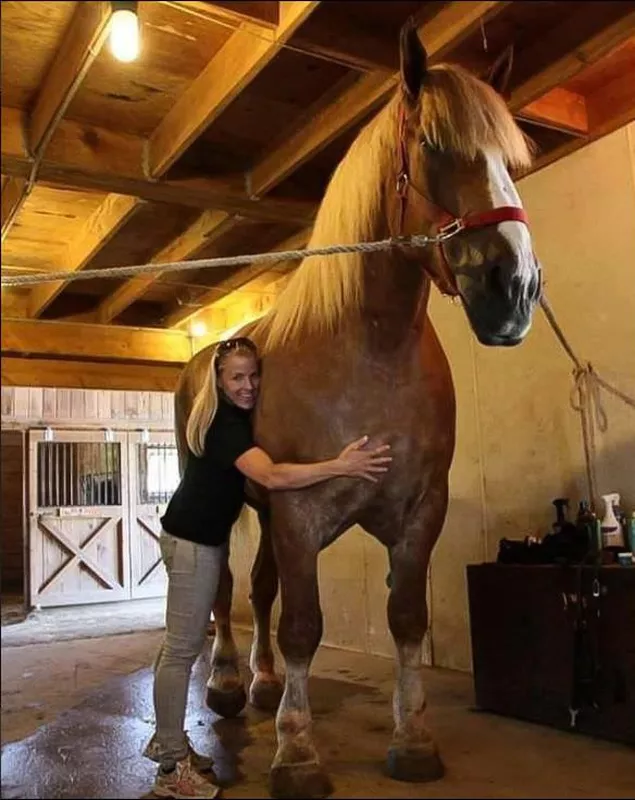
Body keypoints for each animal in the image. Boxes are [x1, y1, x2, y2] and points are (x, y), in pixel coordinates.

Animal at [174, 21, 540, 796]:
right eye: (431, 145)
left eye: (512, 158)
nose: (515, 289)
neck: (370, 352)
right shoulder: (299, 512)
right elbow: (304, 625)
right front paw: (297, 754)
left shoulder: (418, 511)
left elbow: (404, 617)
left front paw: (412, 738)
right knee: (225, 591)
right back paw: (226, 686)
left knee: (259, 589)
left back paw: (262, 685)